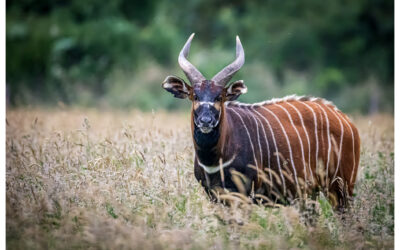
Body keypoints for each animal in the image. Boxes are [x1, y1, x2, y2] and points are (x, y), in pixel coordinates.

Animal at [161, 33, 360, 207]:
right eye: (195, 96)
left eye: (219, 97)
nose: (205, 121)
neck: (215, 160)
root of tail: (345, 119)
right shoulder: (215, 196)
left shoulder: (243, 195)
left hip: (341, 187)